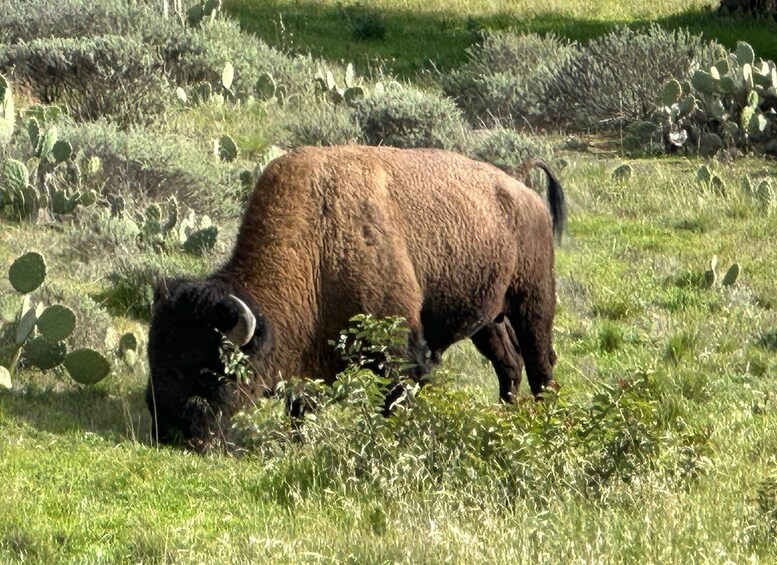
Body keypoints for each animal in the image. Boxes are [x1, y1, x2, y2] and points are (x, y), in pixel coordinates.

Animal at [147, 145, 564, 450]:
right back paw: (507, 414)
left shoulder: (398, 346)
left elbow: (396, 396)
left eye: (209, 370)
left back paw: (545, 419)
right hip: (487, 319)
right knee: (508, 362)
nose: (170, 435)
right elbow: (301, 404)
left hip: (533, 302)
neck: (315, 245)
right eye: (155, 358)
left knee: (539, 363)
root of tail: (519, 186)